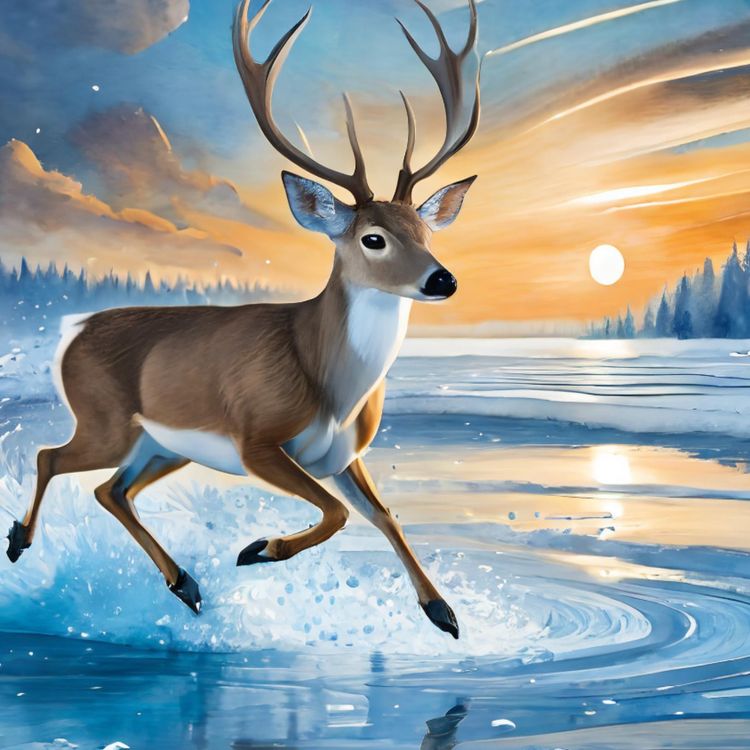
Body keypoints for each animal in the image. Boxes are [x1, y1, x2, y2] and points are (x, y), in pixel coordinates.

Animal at [6, 0, 480, 639]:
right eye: (373, 238)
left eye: (427, 233)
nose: (443, 280)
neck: (333, 386)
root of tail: (73, 331)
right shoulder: (257, 438)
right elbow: (337, 513)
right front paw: (259, 548)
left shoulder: (344, 457)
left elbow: (385, 516)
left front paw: (442, 611)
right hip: (106, 421)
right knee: (51, 456)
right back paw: (20, 541)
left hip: (162, 445)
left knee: (110, 490)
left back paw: (186, 584)